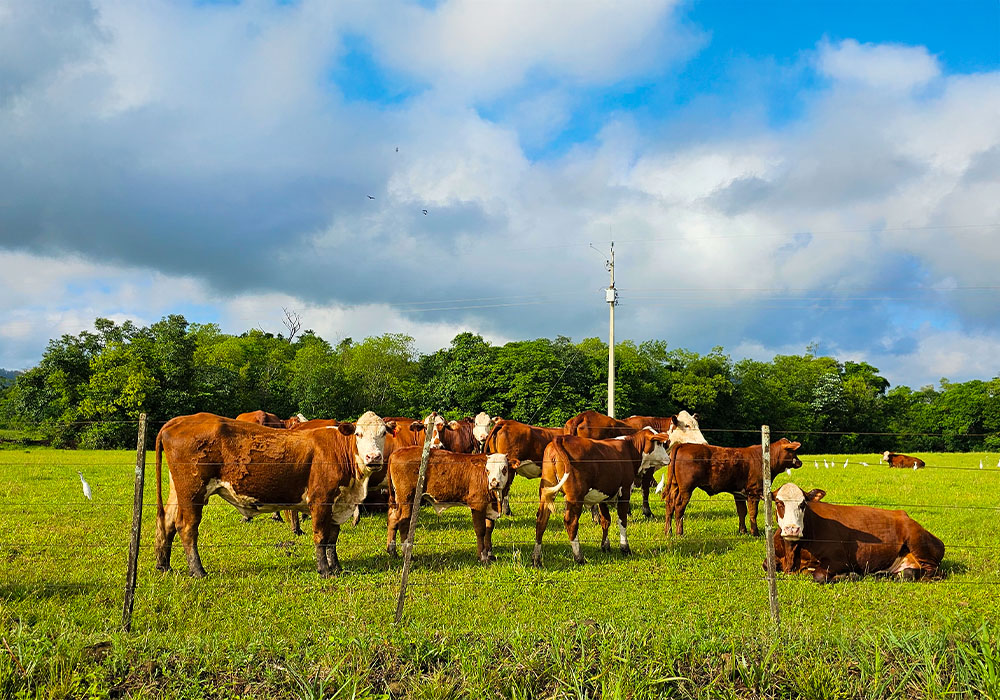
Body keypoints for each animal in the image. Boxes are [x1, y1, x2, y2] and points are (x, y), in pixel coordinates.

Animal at [152, 408, 394, 576]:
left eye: (383, 433)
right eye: (359, 434)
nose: (374, 457)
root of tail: (178, 420)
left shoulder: (339, 503)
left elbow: (332, 539)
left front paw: (336, 567)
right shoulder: (320, 500)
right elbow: (321, 536)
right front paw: (325, 570)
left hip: (178, 491)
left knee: (167, 523)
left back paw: (164, 565)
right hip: (193, 493)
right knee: (187, 528)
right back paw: (198, 571)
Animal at [386, 448, 520, 564]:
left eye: (504, 469)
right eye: (487, 470)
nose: (494, 483)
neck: (496, 500)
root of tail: (397, 451)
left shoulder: (489, 507)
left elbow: (489, 530)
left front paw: (490, 554)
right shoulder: (478, 505)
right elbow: (481, 530)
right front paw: (482, 556)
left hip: (398, 500)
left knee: (393, 519)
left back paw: (392, 551)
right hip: (407, 499)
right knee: (404, 523)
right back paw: (407, 555)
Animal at [532, 430, 672, 568]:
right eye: (659, 443)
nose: (669, 459)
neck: (630, 448)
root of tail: (560, 438)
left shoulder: (603, 495)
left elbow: (606, 521)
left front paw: (605, 546)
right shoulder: (625, 491)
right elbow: (622, 520)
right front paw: (625, 548)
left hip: (546, 492)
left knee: (541, 521)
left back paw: (536, 559)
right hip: (575, 497)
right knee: (571, 522)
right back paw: (579, 557)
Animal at [664, 438, 804, 536]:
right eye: (793, 451)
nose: (800, 462)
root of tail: (683, 444)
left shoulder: (739, 494)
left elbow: (742, 512)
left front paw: (743, 531)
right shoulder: (753, 492)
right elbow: (753, 513)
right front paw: (755, 532)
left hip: (675, 486)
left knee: (670, 504)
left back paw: (668, 532)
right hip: (686, 489)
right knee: (679, 507)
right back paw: (679, 532)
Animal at [764, 482, 944, 584]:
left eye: (803, 503)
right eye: (779, 502)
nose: (792, 529)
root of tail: (903, 515)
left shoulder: (839, 559)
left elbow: (819, 575)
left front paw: (850, 575)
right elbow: (766, 565)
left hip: (917, 542)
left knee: (932, 572)